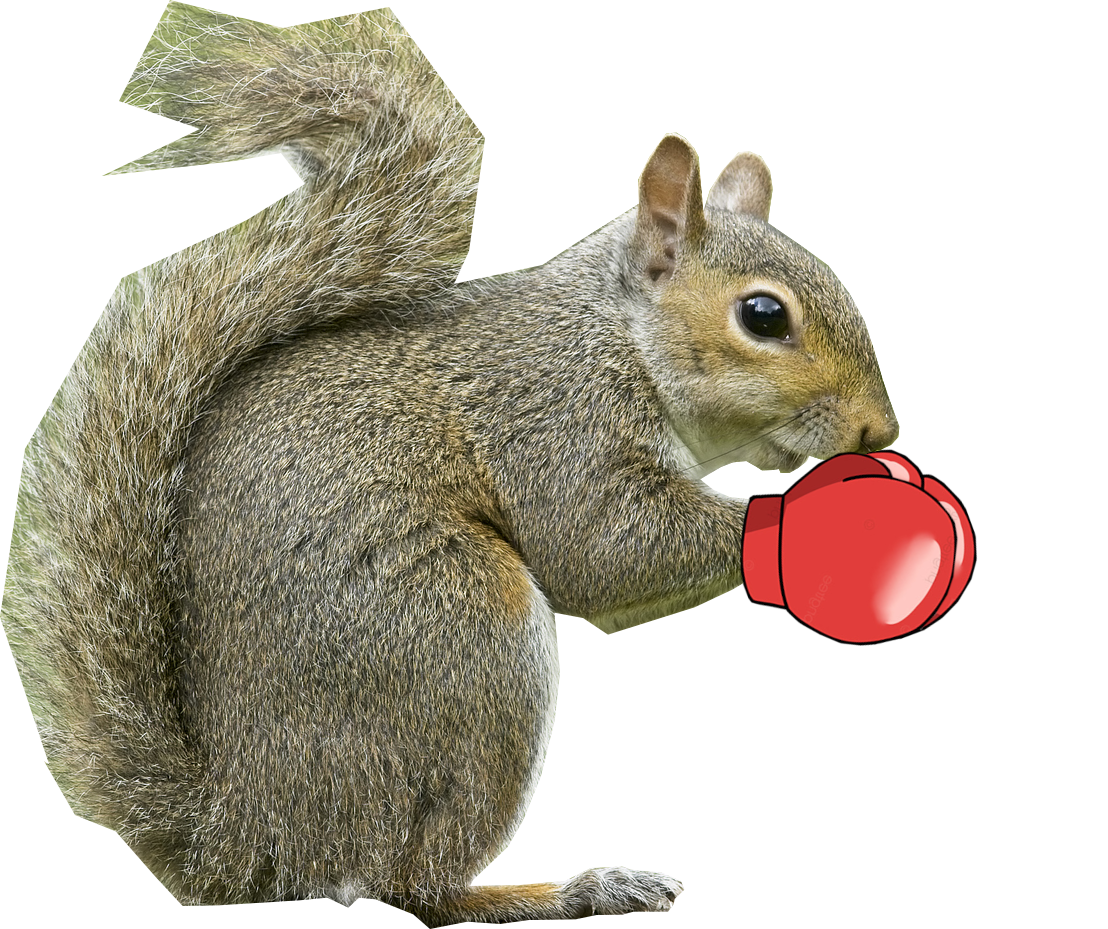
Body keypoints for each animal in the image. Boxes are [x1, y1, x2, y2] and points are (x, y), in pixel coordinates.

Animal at [2, 2, 897, 923]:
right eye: (763, 315)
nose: (879, 427)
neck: (614, 334)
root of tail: (247, 836)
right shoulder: (554, 417)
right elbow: (600, 550)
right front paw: (809, 518)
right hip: (463, 640)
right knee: (414, 885)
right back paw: (567, 891)